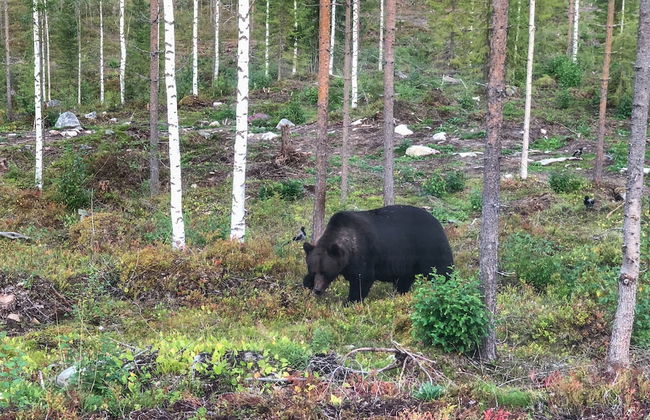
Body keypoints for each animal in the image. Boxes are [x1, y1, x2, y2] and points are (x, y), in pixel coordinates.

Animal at [303, 205, 454, 302]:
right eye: (314, 270)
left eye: (325, 271)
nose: (317, 289)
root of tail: (438, 222)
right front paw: (306, 284)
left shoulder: (364, 254)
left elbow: (362, 280)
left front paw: (350, 301)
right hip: (409, 263)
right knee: (404, 280)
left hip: (429, 248)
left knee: (442, 271)